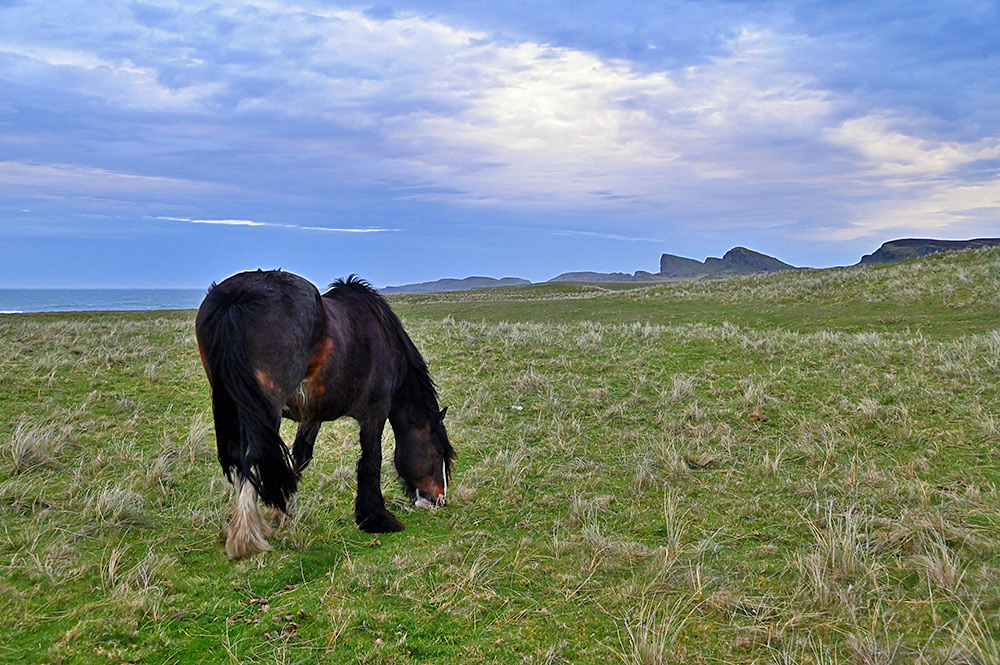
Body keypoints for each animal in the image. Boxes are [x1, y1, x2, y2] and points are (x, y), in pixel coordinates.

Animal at [195, 269, 454, 559]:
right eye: (438, 453)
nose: (439, 499)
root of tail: (234, 298)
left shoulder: (312, 416)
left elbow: (300, 457)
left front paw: (283, 515)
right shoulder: (375, 413)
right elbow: (370, 461)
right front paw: (376, 519)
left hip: (232, 405)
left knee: (239, 461)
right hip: (263, 412)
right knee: (252, 458)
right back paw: (246, 539)